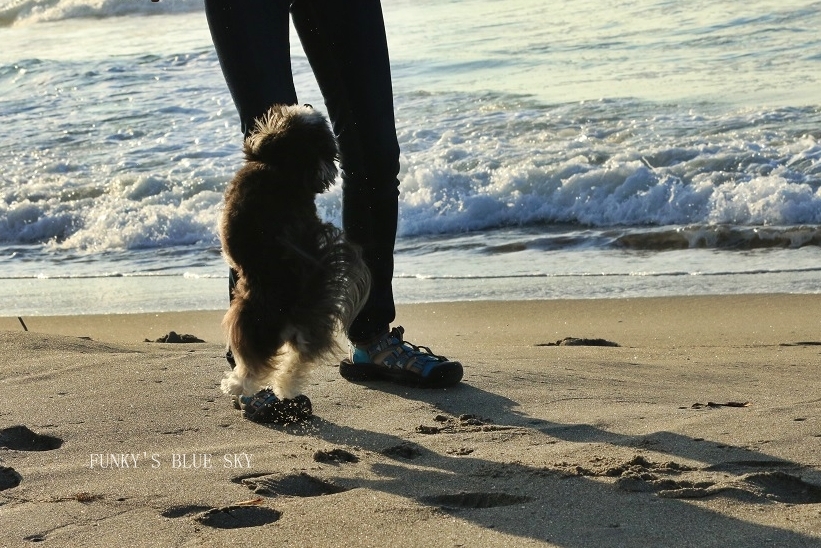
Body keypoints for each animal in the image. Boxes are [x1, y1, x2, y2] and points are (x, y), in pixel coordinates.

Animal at [219, 105, 370, 400]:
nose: (308, 106)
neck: (284, 168)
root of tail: (295, 311)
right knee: (298, 358)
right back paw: (285, 386)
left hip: (243, 318)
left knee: (253, 362)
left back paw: (237, 384)